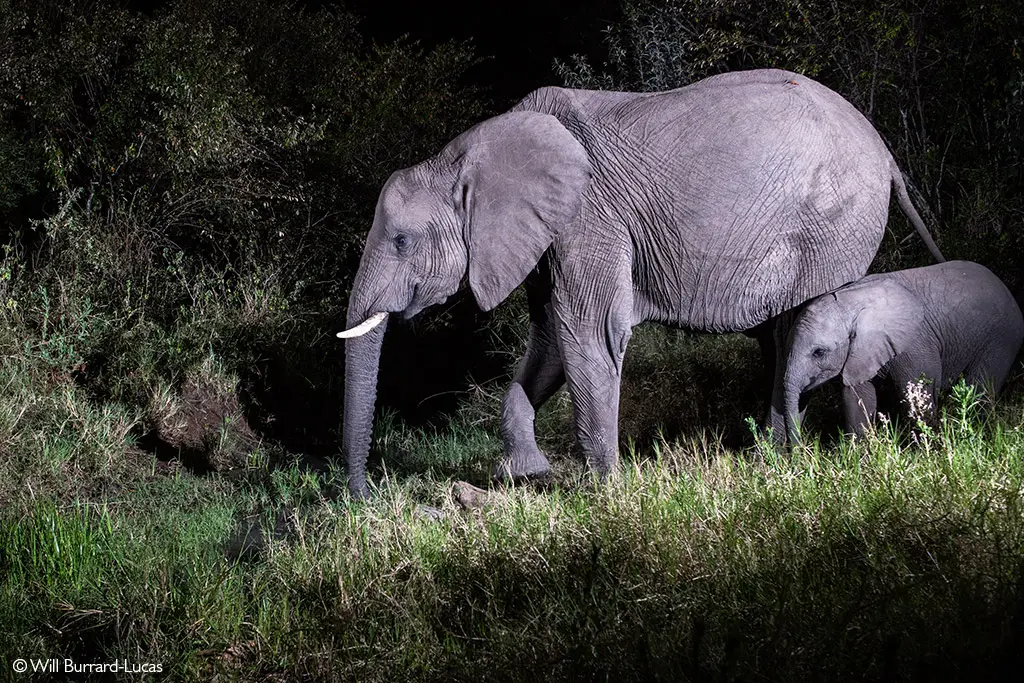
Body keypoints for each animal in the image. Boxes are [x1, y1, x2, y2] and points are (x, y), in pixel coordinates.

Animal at [336, 67, 945, 499]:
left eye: (400, 242)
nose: (366, 499)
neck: (468, 152)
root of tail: (883, 147)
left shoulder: (589, 217)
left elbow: (588, 333)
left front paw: (604, 494)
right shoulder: (551, 235)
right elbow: (551, 340)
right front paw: (526, 477)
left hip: (834, 225)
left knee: (801, 324)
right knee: (781, 334)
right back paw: (774, 459)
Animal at [779, 260, 1024, 444]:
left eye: (818, 352)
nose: (799, 454)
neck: (850, 301)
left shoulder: (915, 343)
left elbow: (918, 400)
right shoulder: (858, 355)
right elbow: (857, 400)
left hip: (1001, 338)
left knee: (979, 390)